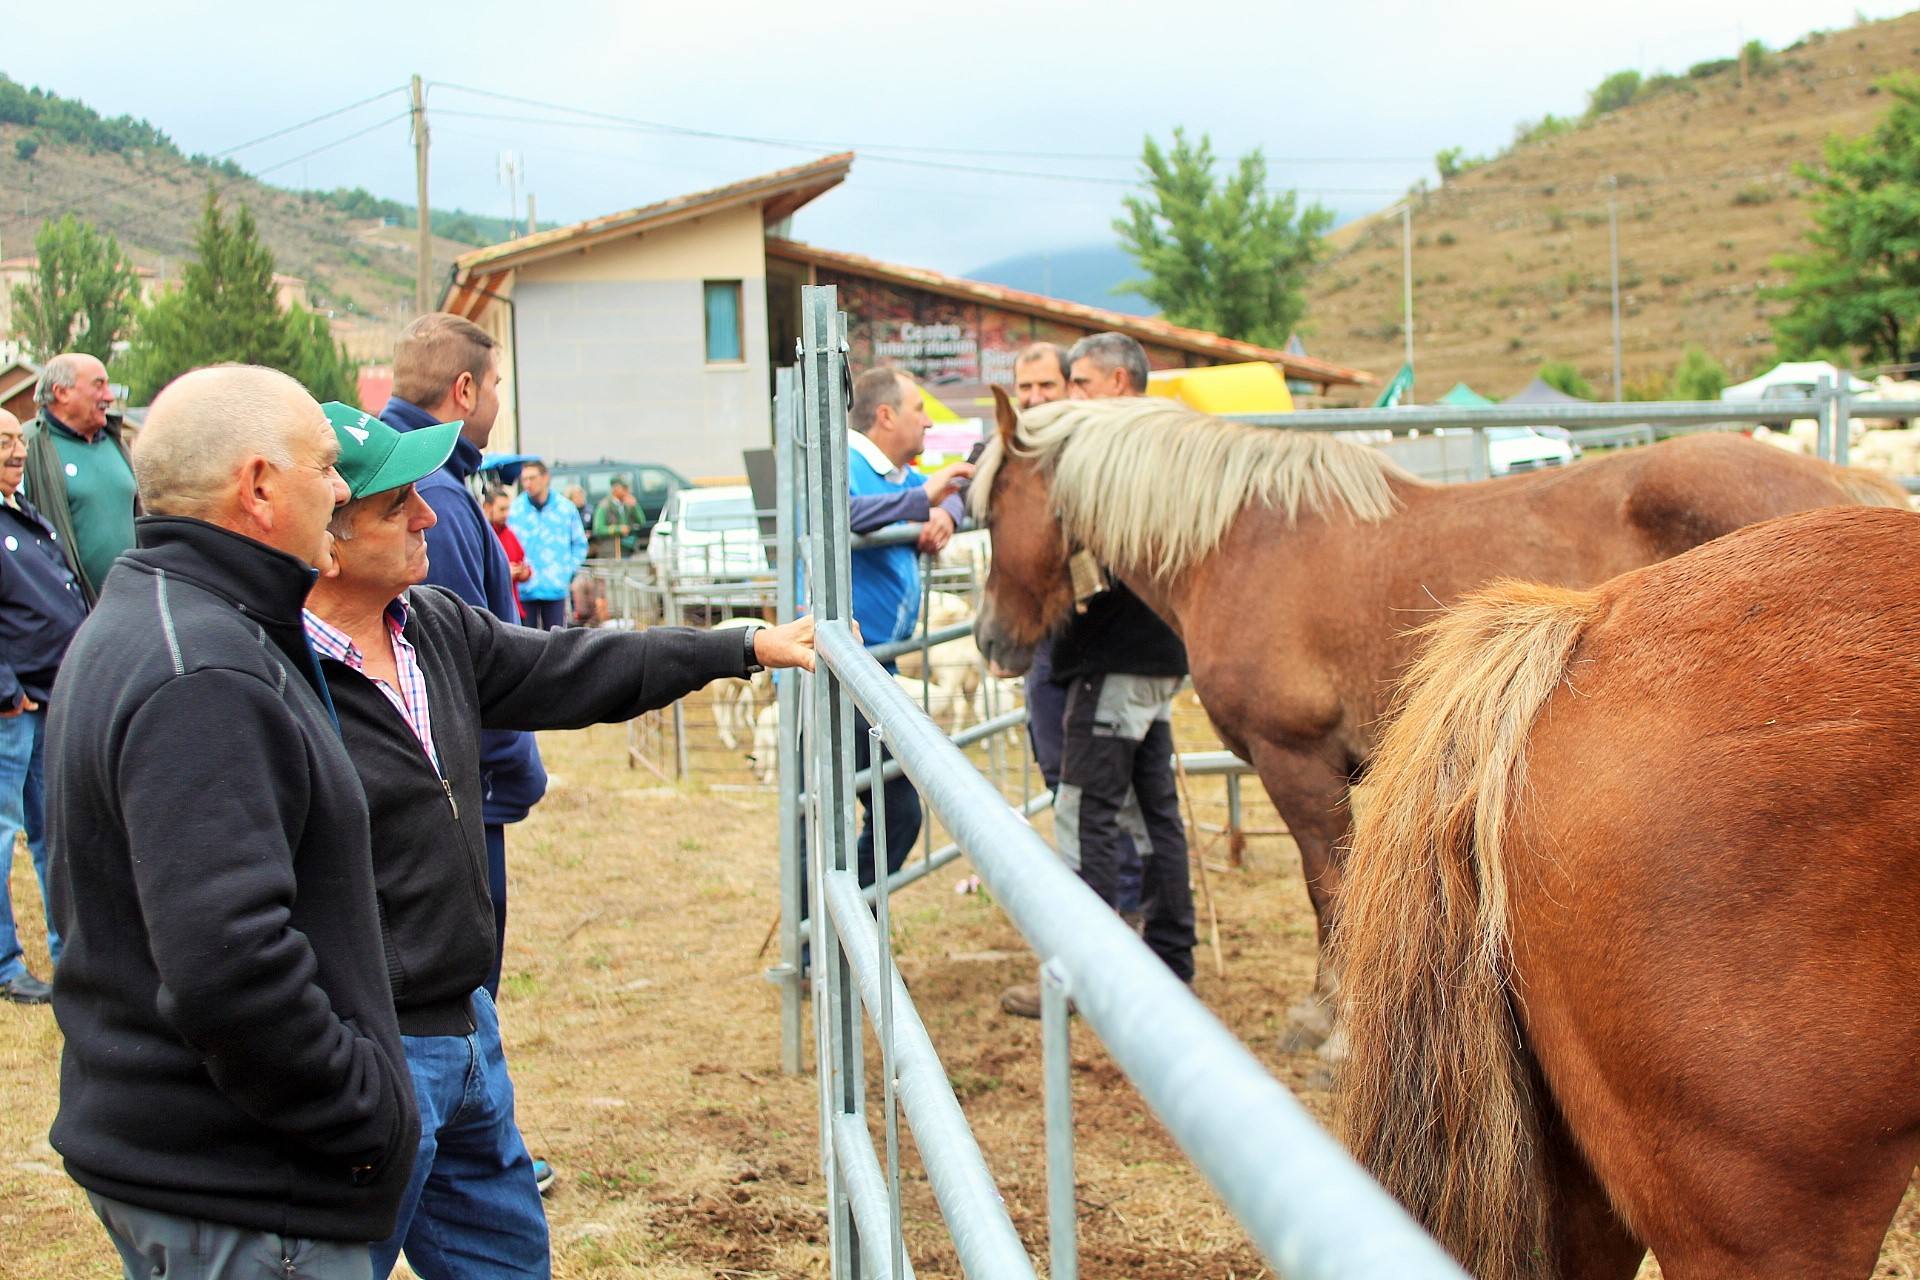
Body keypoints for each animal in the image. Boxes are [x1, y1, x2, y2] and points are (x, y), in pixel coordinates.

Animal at [975, 391, 1904, 1043]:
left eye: (986, 511)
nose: (989, 640)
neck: (1242, 543)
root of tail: (1840, 480)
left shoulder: (1295, 761)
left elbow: (1327, 886)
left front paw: (1331, 1020)